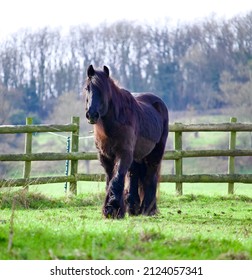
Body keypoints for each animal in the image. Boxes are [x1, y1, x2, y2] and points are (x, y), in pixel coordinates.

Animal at [84, 65, 169, 219]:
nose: (91, 114)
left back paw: (148, 209)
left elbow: (117, 178)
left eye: (104, 89)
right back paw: (133, 208)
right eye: (87, 88)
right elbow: (111, 179)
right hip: (136, 157)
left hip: (155, 153)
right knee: (134, 174)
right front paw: (111, 208)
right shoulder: (105, 157)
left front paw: (113, 208)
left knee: (151, 176)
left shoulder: (123, 154)